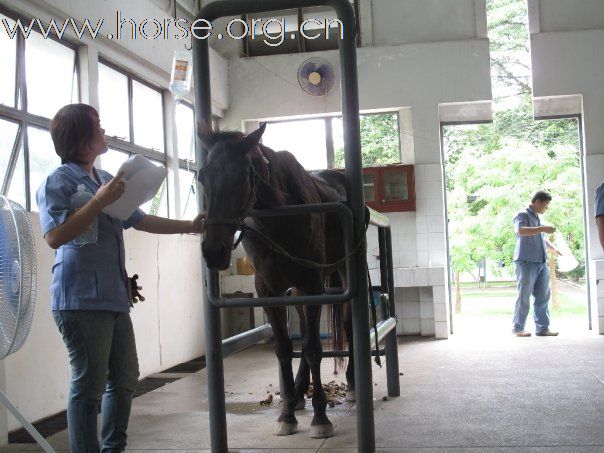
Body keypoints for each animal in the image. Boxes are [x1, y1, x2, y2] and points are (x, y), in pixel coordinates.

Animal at [198, 122, 354, 436]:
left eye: (243, 176)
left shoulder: (311, 283)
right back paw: (298, 393)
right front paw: (287, 414)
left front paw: (321, 417)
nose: (213, 251)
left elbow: (313, 349)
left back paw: (353, 384)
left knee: (347, 320)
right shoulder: (269, 289)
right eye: (202, 176)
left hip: (343, 270)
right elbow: (285, 349)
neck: (280, 218)